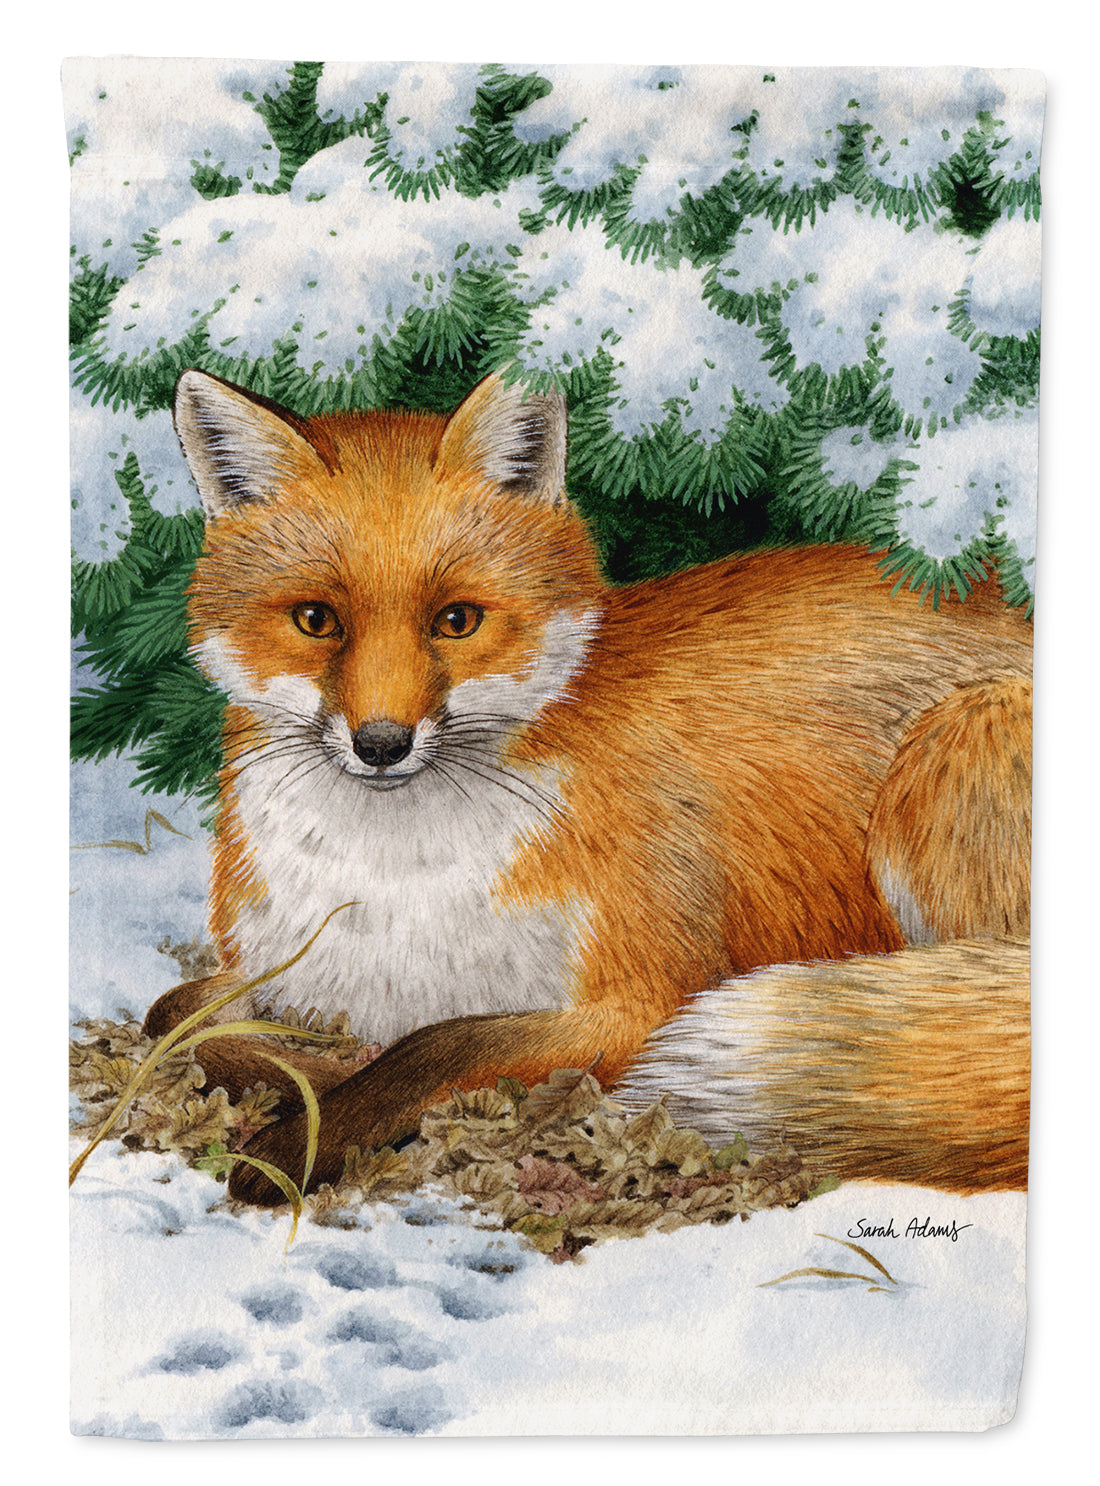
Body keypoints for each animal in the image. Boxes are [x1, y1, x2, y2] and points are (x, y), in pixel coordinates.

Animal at [143, 368, 1033, 1205]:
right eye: (317, 621)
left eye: (457, 621)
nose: (383, 745)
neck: (394, 888)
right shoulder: (285, 970)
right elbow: (175, 1018)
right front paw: (309, 1075)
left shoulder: (644, 1000)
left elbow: (435, 1048)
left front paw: (306, 1136)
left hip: (954, 745)